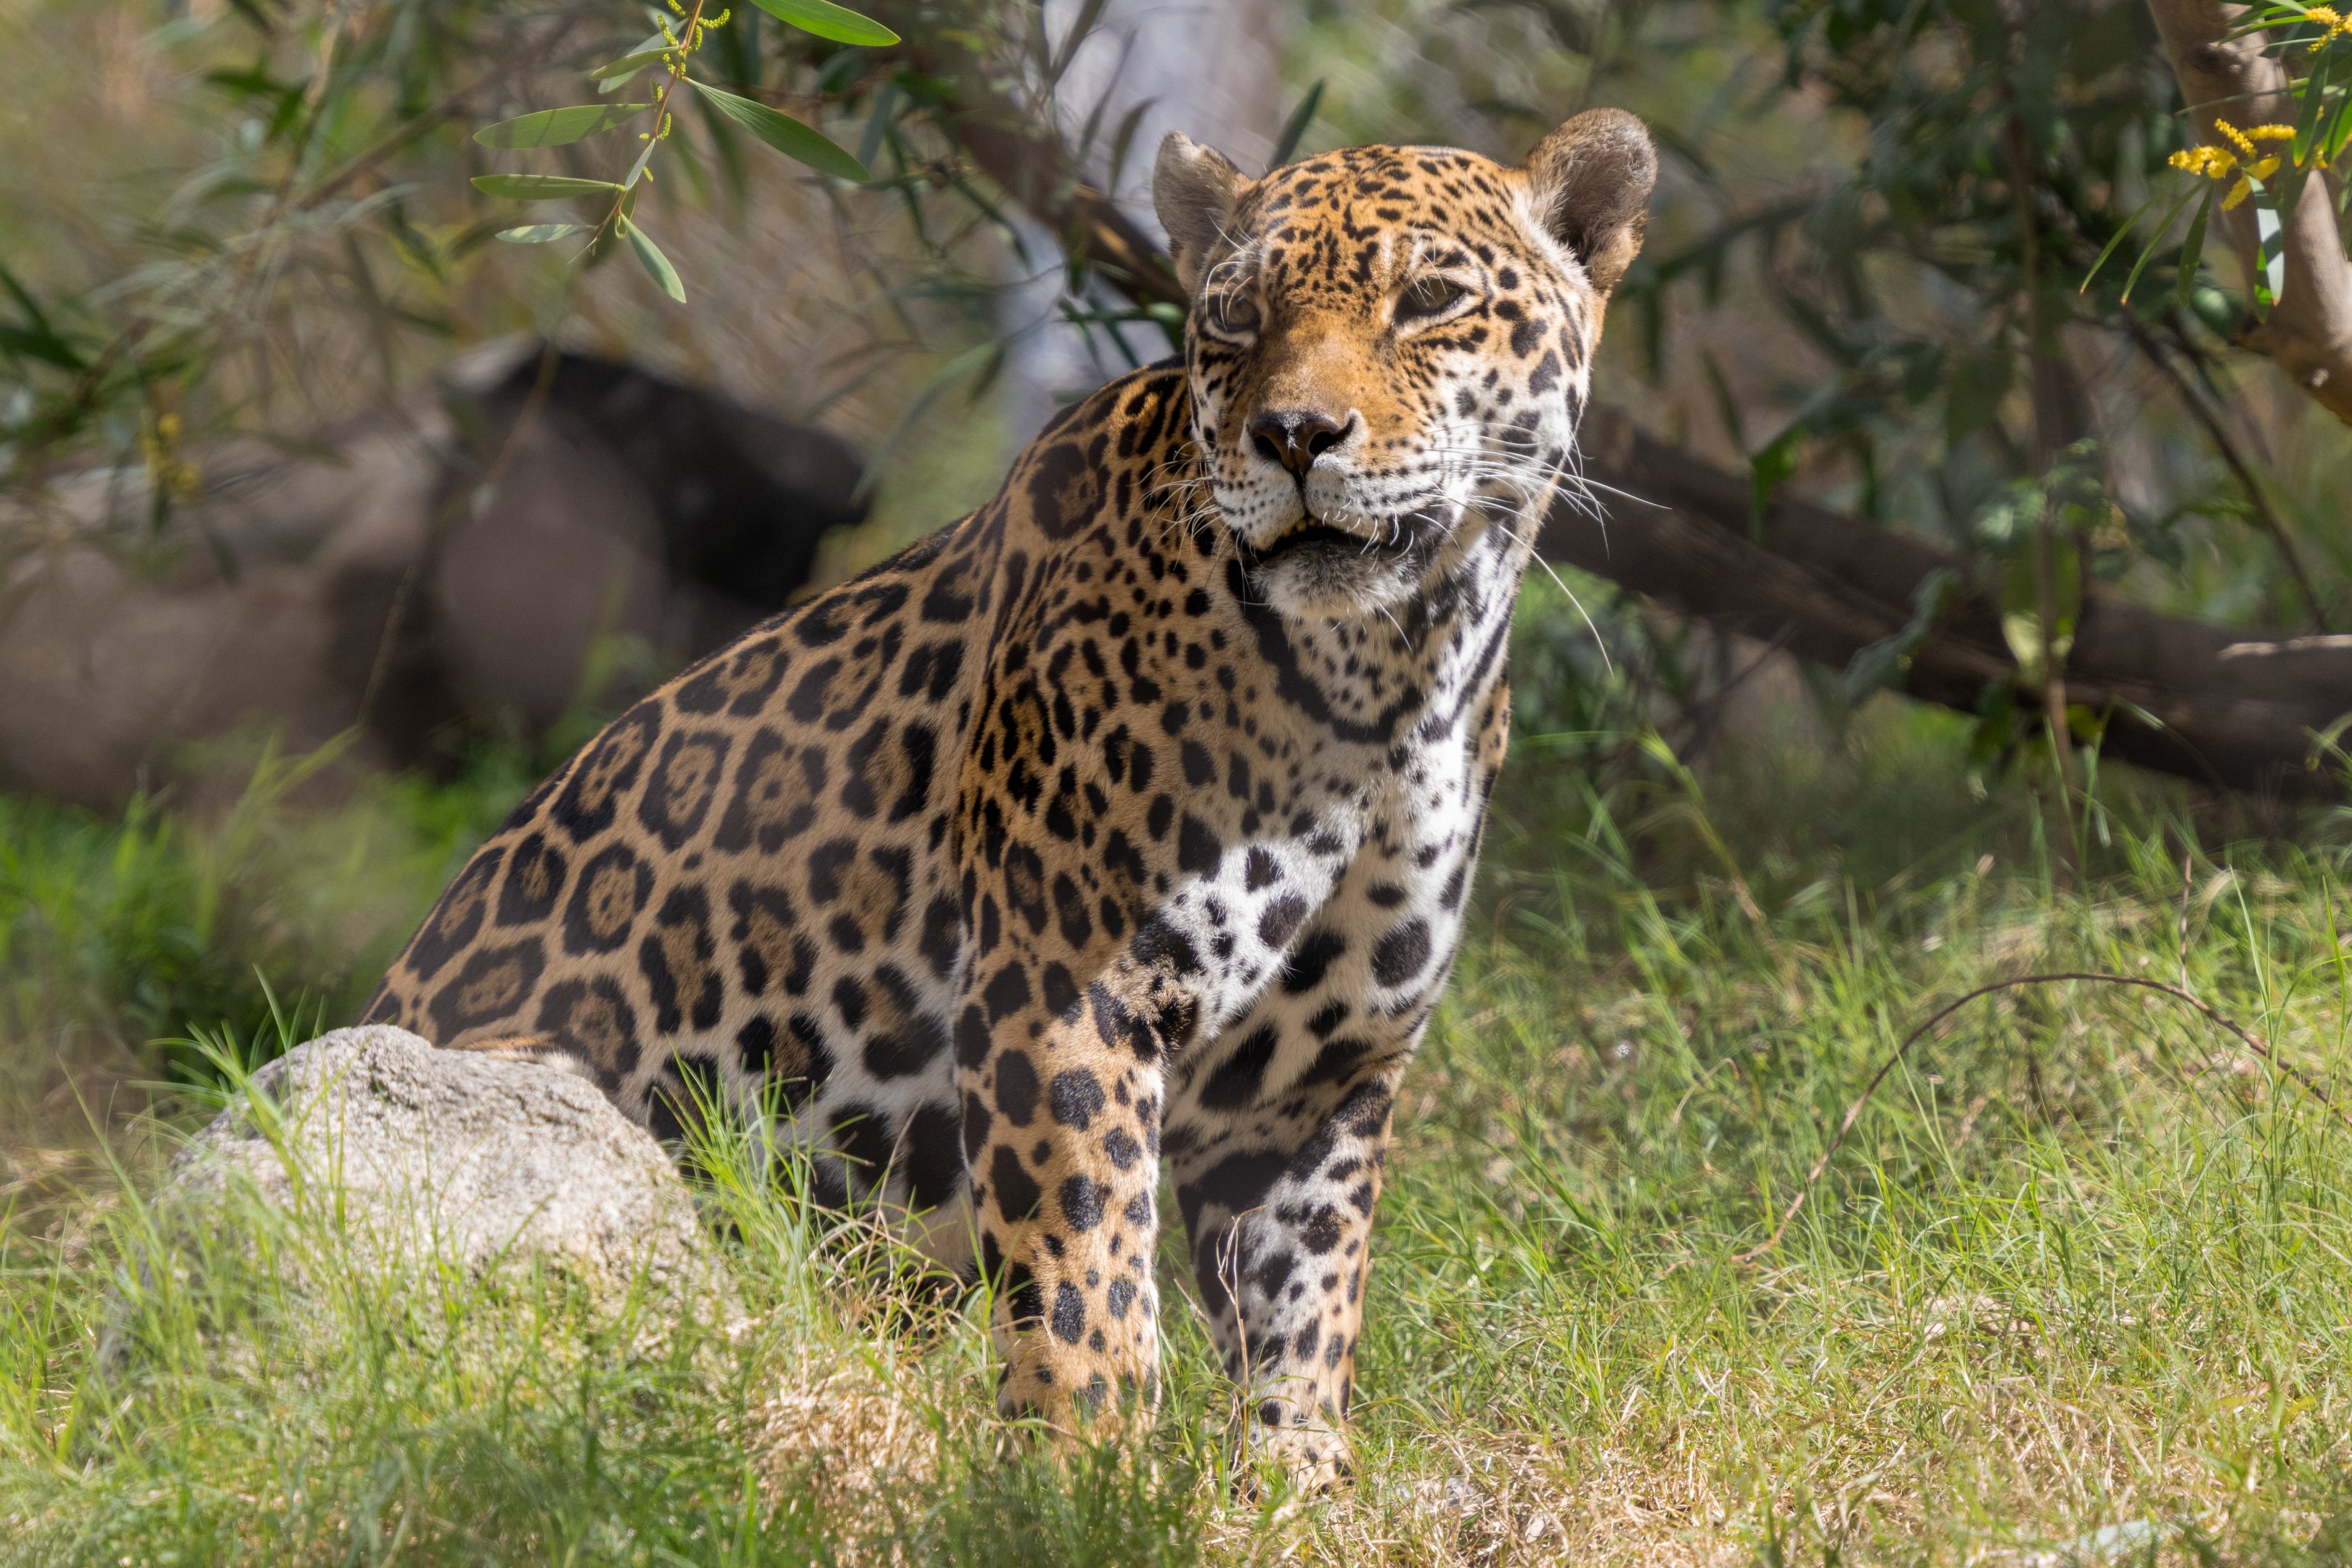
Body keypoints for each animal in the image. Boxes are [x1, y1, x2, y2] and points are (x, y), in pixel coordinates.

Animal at [363, 108, 1656, 1488]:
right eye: (1236, 317)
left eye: (1431, 302)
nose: (1295, 437)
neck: (1386, 681)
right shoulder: (1070, 993)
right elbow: (1087, 1271)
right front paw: (1088, 1478)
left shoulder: (1321, 1078)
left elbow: (1306, 1309)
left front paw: (1300, 1490)